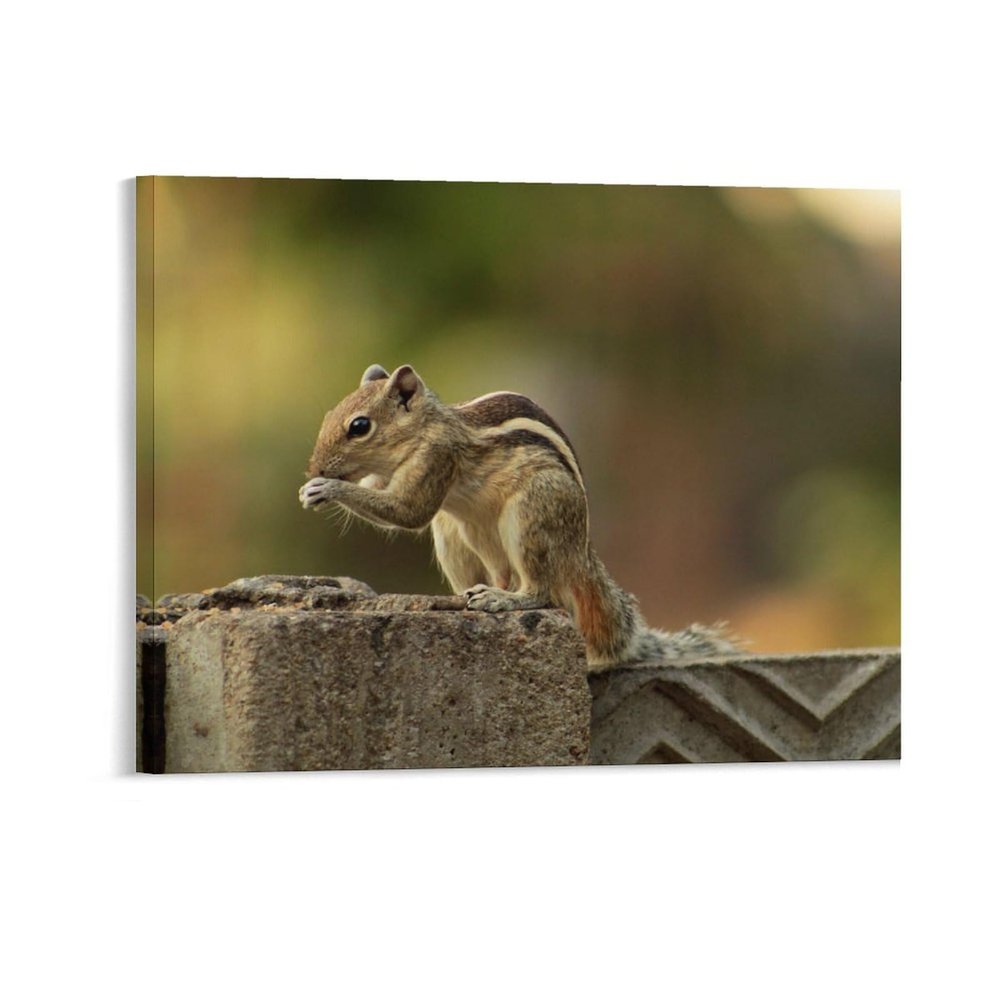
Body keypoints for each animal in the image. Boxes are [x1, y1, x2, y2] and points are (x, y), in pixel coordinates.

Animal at [298, 363, 741, 670]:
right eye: (328, 416)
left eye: (359, 426)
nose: (313, 468)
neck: (424, 428)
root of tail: (581, 554)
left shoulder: (437, 456)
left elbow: (409, 511)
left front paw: (326, 489)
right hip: (458, 537)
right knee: (498, 574)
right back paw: (472, 596)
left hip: (531, 515)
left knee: (541, 593)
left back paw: (505, 600)